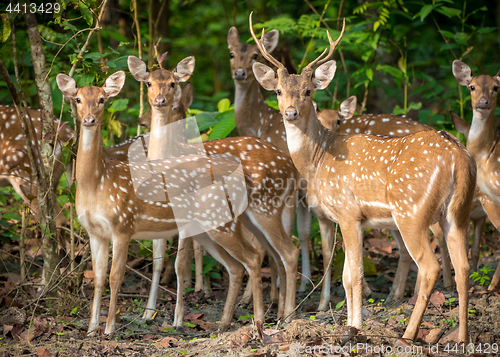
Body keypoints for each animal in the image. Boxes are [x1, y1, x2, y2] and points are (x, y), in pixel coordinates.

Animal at [252, 14, 474, 342]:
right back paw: (462, 337)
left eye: (308, 91)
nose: (290, 113)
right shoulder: (351, 219)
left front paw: (354, 327)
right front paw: (348, 323)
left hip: (412, 211)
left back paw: (408, 334)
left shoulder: (347, 212)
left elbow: (354, 274)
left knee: (429, 266)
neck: (319, 159)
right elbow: (345, 275)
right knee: (465, 267)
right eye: (278, 91)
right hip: (457, 212)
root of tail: (459, 158)